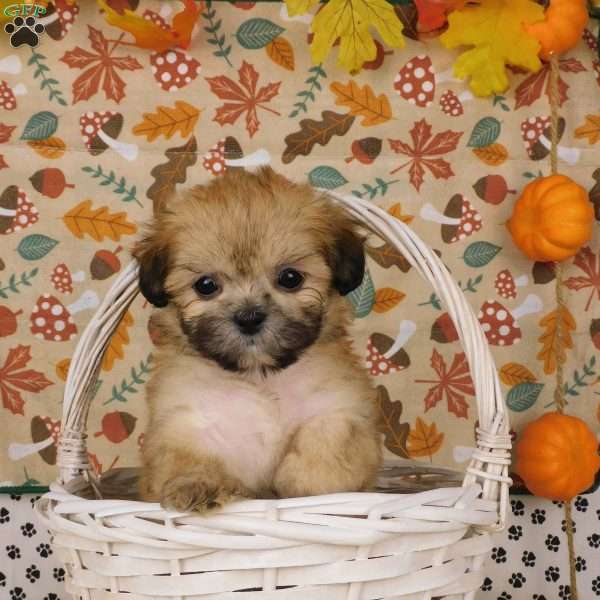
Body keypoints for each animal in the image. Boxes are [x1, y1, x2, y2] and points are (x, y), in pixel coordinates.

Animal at [134, 168, 382, 510]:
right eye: (205, 285)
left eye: (290, 278)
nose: (249, 318)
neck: (260, 377)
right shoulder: (184, 419)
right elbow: (183, 455)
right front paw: (194, 484)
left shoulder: (344, 407)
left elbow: (331, 433)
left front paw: (304, 482)